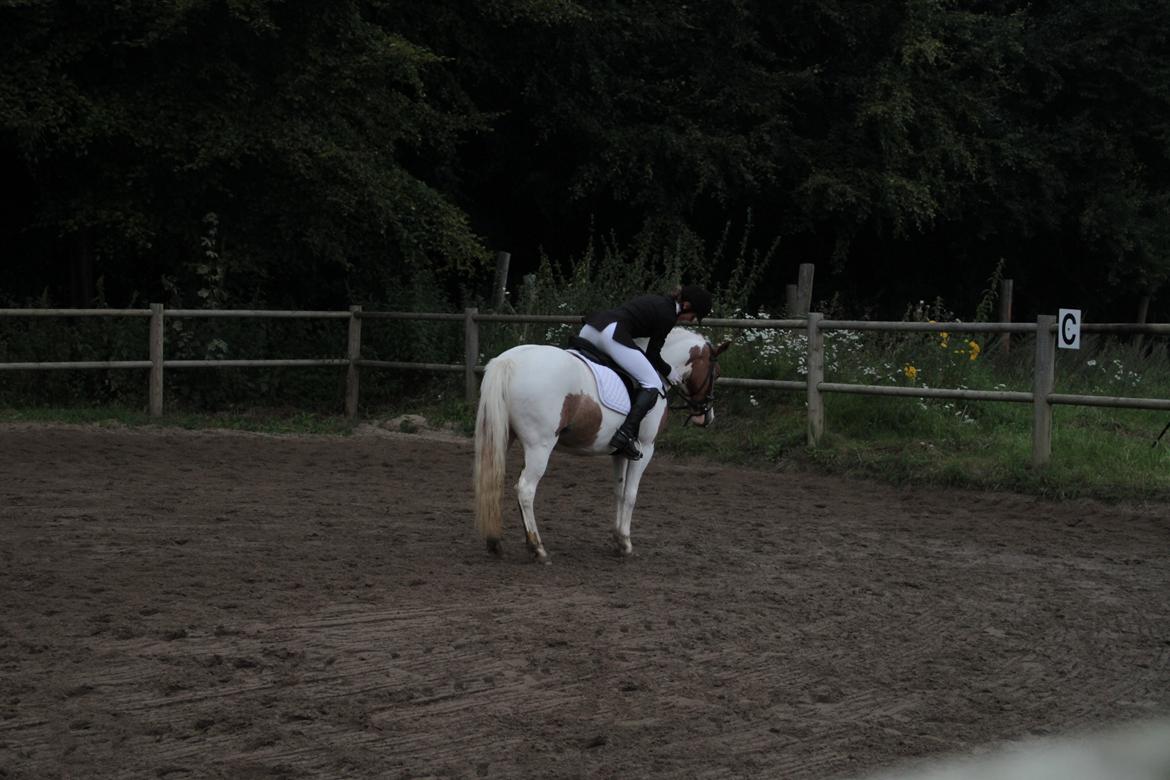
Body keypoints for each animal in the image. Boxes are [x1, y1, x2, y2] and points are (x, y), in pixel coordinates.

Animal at [473, 327, 730, 562]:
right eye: (716, 373)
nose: (707, 416)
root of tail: (508, 361)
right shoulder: (646, 448)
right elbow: (631, 495)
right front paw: (625, 542)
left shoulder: (621, 451)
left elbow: (619, 491)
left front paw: (617, 539)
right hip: (540, 446)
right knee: (525, 489)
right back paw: (537, 548)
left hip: (503, 436)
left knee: (493, 482)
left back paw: (495, 543)